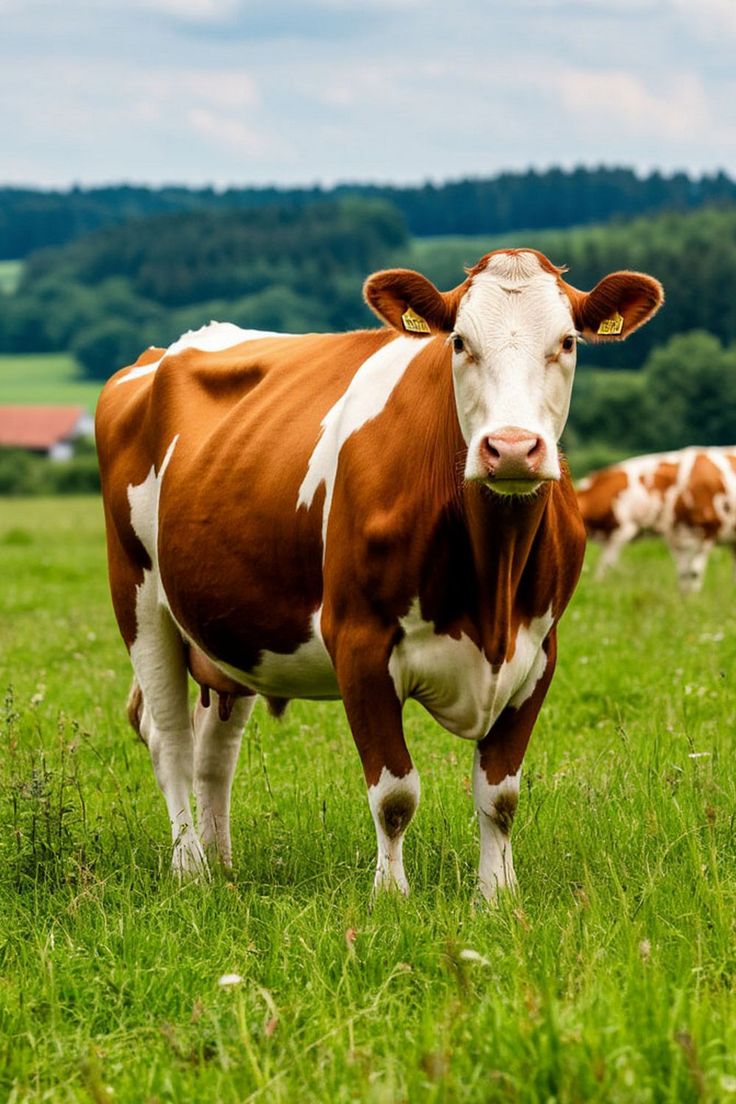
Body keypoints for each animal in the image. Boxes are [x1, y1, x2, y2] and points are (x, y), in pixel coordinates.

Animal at [95, 248, 663, 899]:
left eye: (568, 342)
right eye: (459, 342)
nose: (513, 448)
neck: (492, 577)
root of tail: (161, 353)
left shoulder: (539, 651)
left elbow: (500, 796)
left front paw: (497, 897)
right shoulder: (359, 642)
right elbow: (394, 794)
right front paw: (391, 897)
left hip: (228, 632)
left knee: (215, 751)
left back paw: (223, 865)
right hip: (140, 600)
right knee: (171, 741)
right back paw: (191, 869)